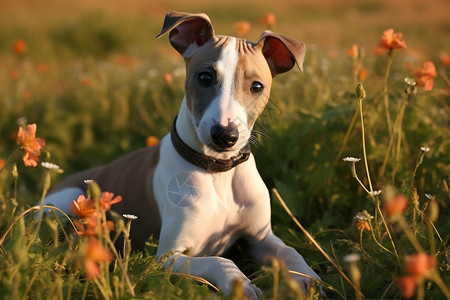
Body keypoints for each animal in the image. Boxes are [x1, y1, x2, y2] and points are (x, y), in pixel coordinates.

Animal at [44, 11, 320, 298]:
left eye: (257, 86)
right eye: (205, 77)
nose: (225, 135)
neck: (216, 171)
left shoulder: (260, 238)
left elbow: (289, 251)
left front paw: (310, 279)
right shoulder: (169, 257)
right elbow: (220, 260)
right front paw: (241, 285)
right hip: (69, 199)